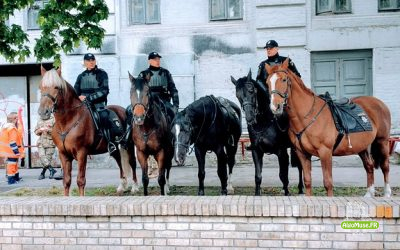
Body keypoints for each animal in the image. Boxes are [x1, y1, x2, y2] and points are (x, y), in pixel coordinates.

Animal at [38, 67, 139, 196]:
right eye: (41, 86)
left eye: (56, 87)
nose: (43, 112)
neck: (67, 122)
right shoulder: (63, 154)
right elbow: (66, 181)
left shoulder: (82, 153)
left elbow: (81, 180)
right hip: (115, 147)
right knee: (119, 161)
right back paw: (122, 186)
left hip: (129, 145)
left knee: (132, 162)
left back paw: (135, 187)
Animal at [266, 58, 390, 197]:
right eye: (267, 82)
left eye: (283, 80)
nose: (275, 107)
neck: (308, 117)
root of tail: (380, 103)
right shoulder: (302, 153)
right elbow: (307, 181)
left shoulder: (325, 152)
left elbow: (328, 182)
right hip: (362, 146)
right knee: (369, 166)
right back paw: (369, 194)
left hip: (382, 141)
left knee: (385, 166)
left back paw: (387, 193)